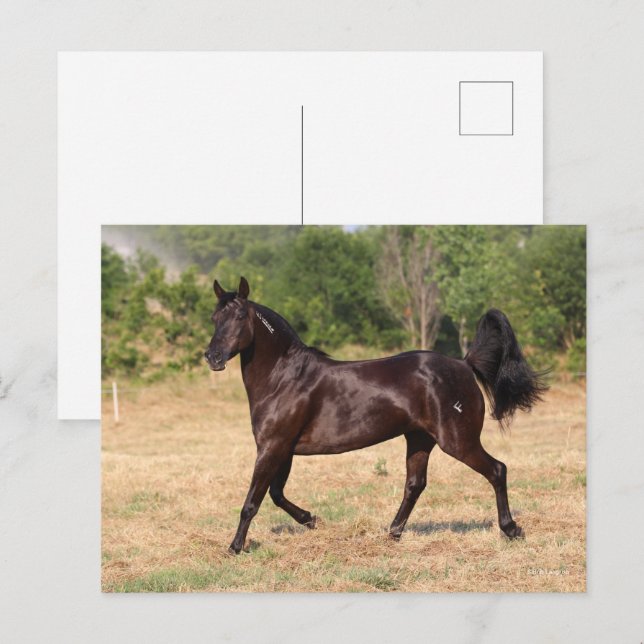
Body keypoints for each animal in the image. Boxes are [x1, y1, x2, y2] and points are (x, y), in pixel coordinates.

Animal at [204, 277, 548, 554]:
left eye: (239, 316)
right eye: (214, 317)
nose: (213, 357)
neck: (285, 378)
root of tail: (464, 365)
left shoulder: (272, 447)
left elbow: (253, 501)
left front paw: (235, 547)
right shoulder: (283, 449)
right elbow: (276, 494)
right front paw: (311, 519)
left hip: (457, 441)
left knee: (497, 470)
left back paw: (511, 529)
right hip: (419, 439)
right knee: (415, 484)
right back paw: (393, 532)